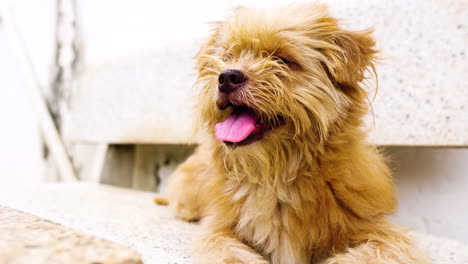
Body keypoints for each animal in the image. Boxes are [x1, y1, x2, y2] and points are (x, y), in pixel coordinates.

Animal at [164, 3, 428, 264]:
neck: (277, 174)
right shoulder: (218, 229)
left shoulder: (381, 233)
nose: (227, 76)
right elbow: (229, 251)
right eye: (227, 57)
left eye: (282, 59)